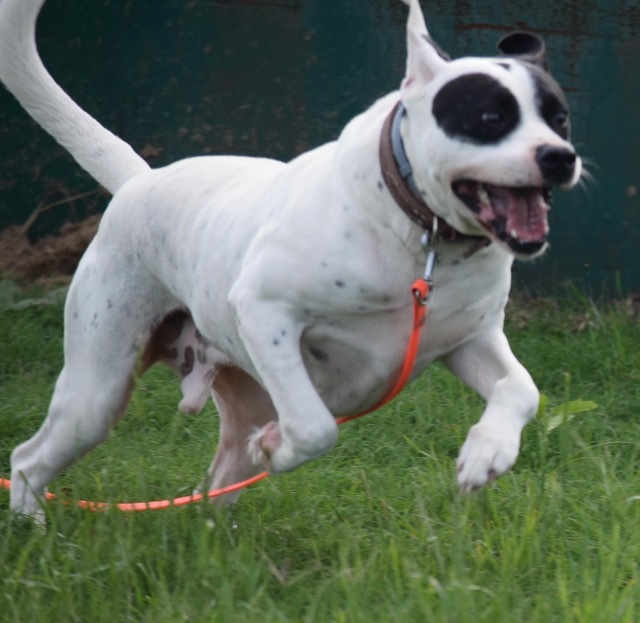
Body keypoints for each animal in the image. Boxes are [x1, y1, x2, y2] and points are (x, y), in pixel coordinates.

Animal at [0, 0, 580, 520]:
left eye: (561, 119)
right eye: (490, 117)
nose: (560, 157)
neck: (422, 238)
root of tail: (139, 181)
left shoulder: (469, 340)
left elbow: (522, 390)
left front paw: (488, 452)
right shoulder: (265, 311)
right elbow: (316, 426)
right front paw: (278, 448)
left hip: (239, 399)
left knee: (218, 478)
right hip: (96, 391)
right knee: (30, 458)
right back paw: (34, 527)